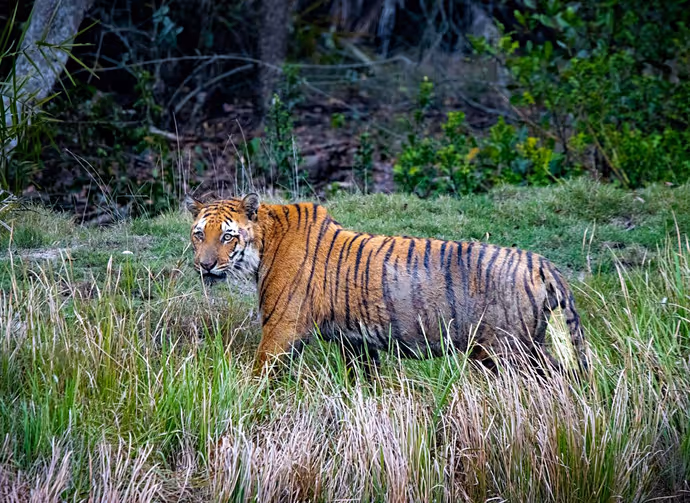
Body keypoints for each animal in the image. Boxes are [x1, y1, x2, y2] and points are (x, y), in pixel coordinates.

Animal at [185, 193, 588, 377]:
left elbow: (260, 374)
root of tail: (541, 263)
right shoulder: (356, 342)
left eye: (227, 237)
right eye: (198, 234)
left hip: (510, 350)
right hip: (520, 347)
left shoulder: (281, 328)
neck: (264, 244)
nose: (205, 266)